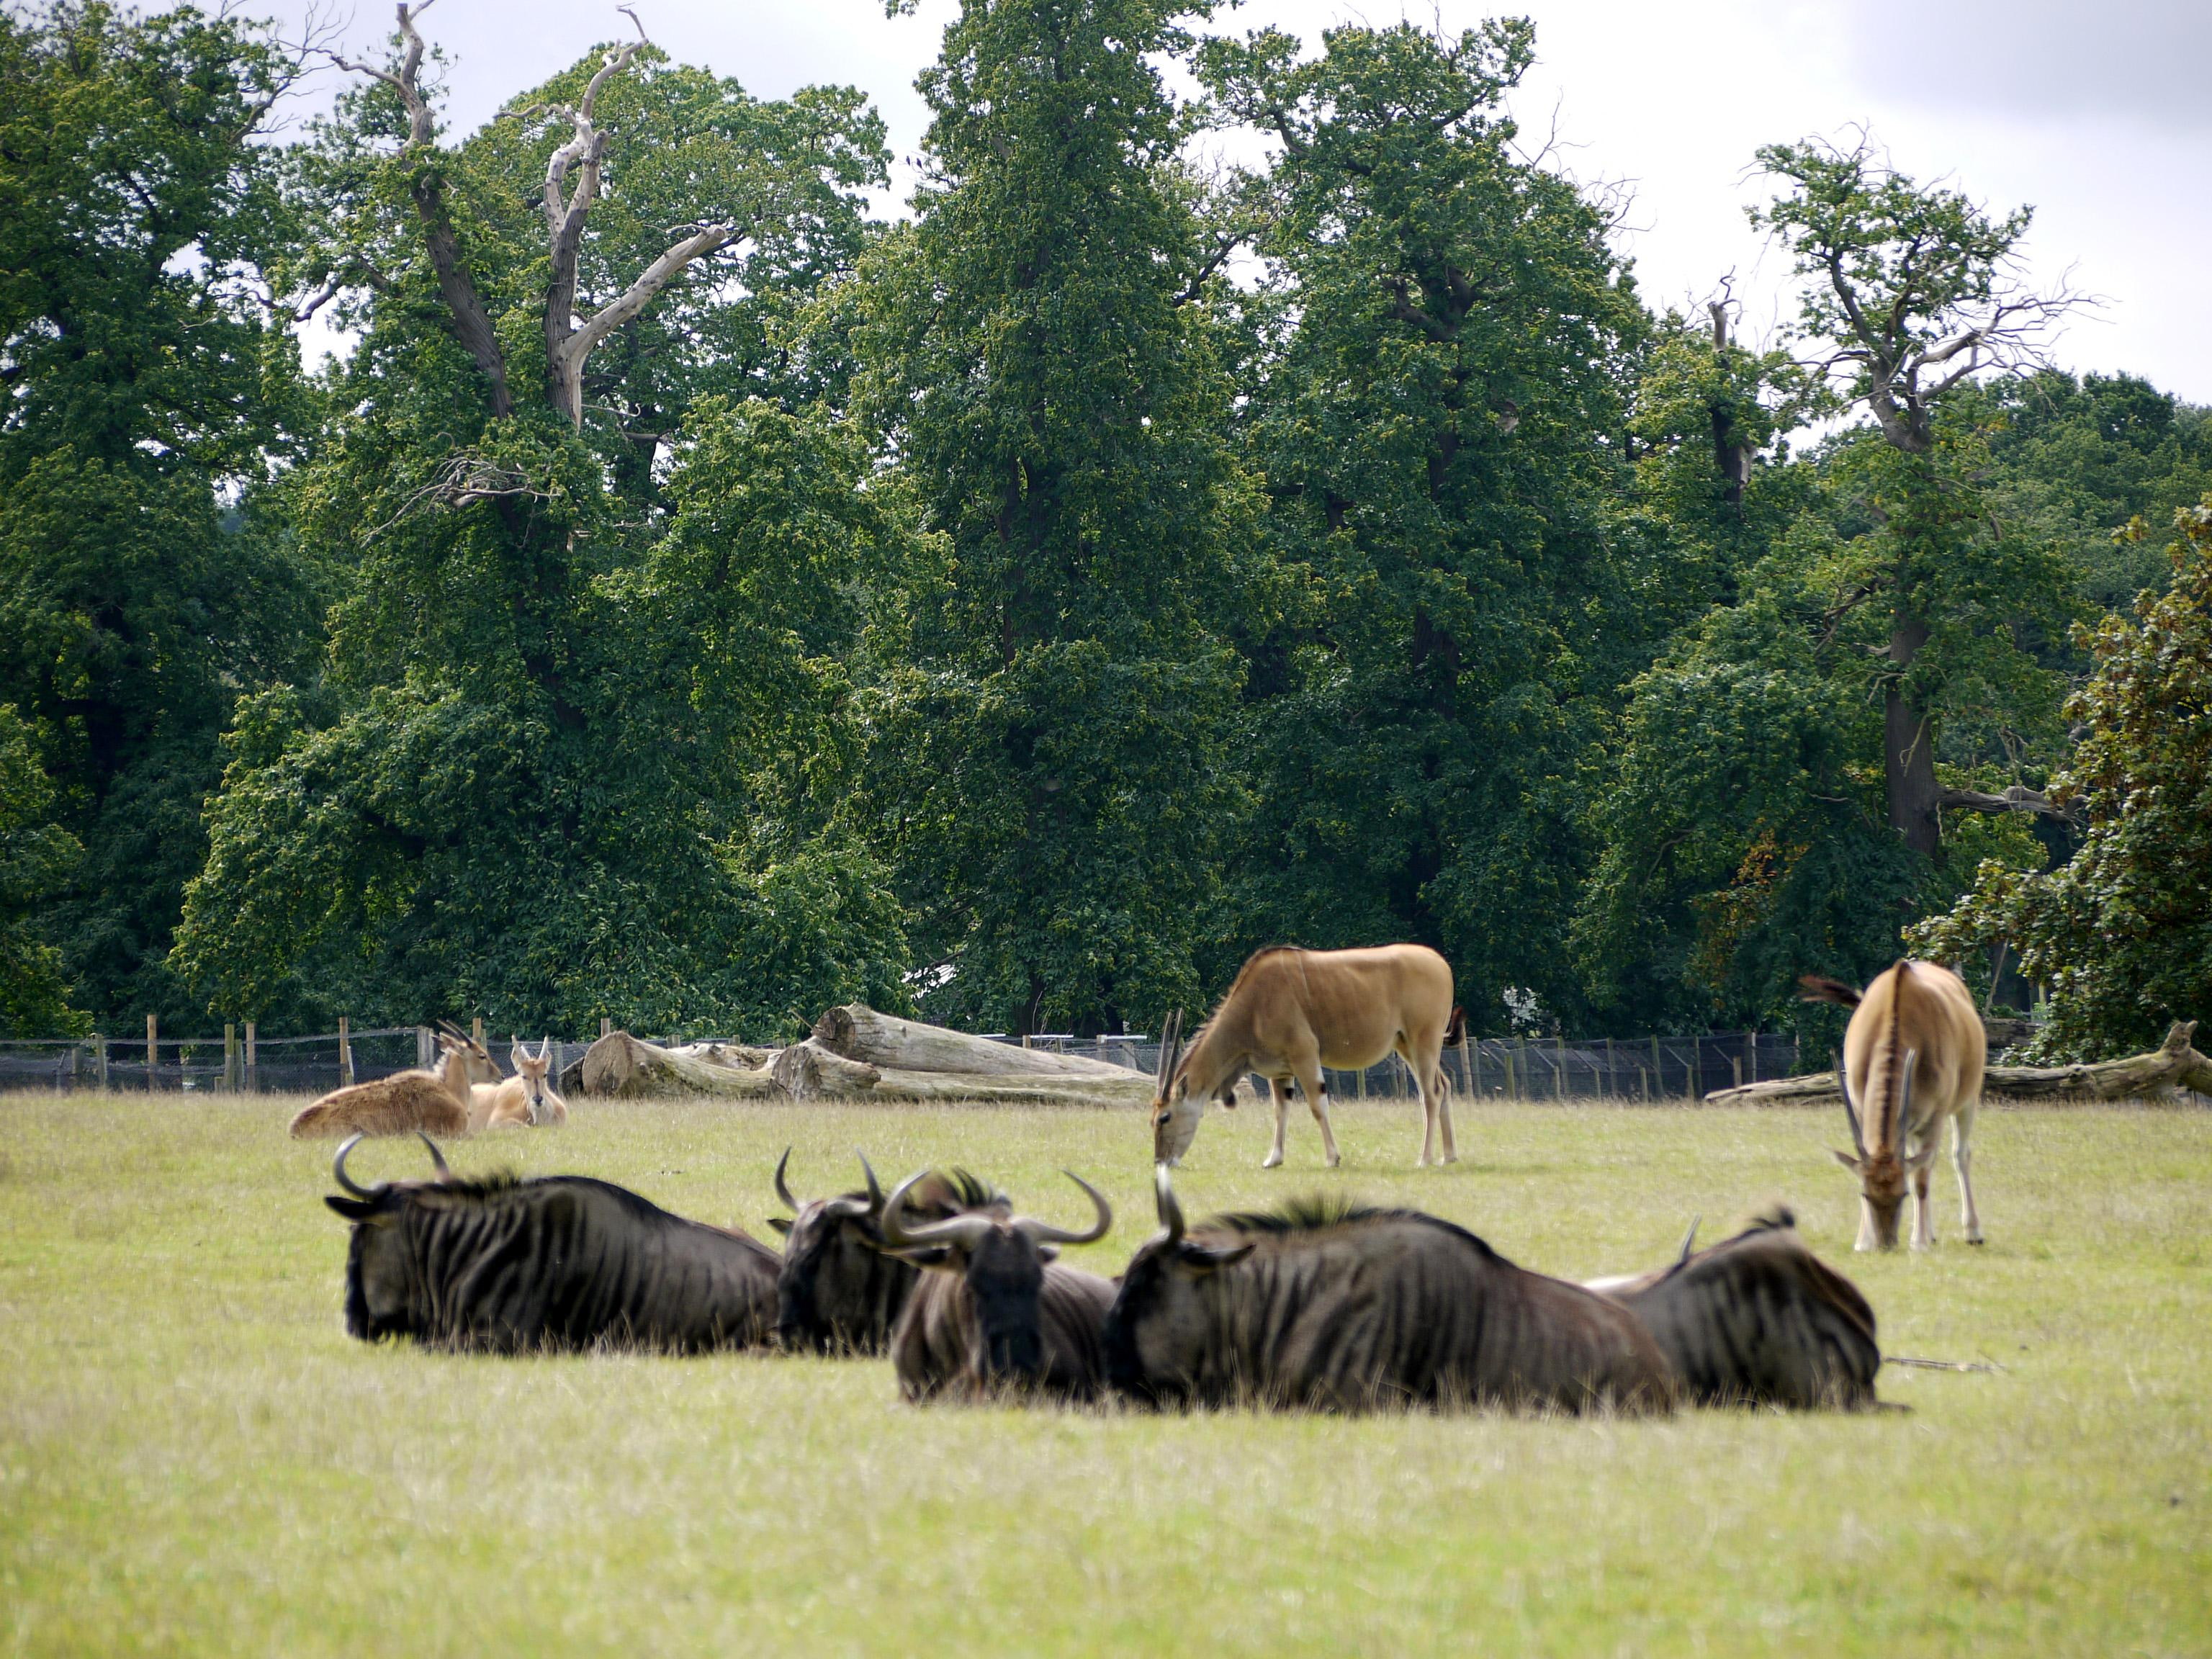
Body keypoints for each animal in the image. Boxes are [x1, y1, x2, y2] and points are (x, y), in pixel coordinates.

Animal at [1150, 945, 1463, 1169]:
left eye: (1165, 1117)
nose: (1161, 1162)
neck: (1254, 1005)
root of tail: (1440, 964)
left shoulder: (1305, 1055)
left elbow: (1317, 1105)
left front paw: (1333, 1158)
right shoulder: (1280, 1072)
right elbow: (1280, 1110)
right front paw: (1273, 1159)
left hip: (1423, 1043)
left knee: (1430, 1094)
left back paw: (1424, 1159)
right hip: (1408, 1046)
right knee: (1444, 1086)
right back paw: (1448, 1156)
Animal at [1802, 960, 1986, 1251]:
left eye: (1903, 1194)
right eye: (1865, 1194)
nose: (1885, 1244)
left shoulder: (1935, 1117)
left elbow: (1921, 1178)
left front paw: (1919, 1243)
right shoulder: (1861, 1108)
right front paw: (1863, 1242)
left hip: (1967, 1100)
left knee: (1959, 1155)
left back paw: (1972, 1232)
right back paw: (1932, 1233)